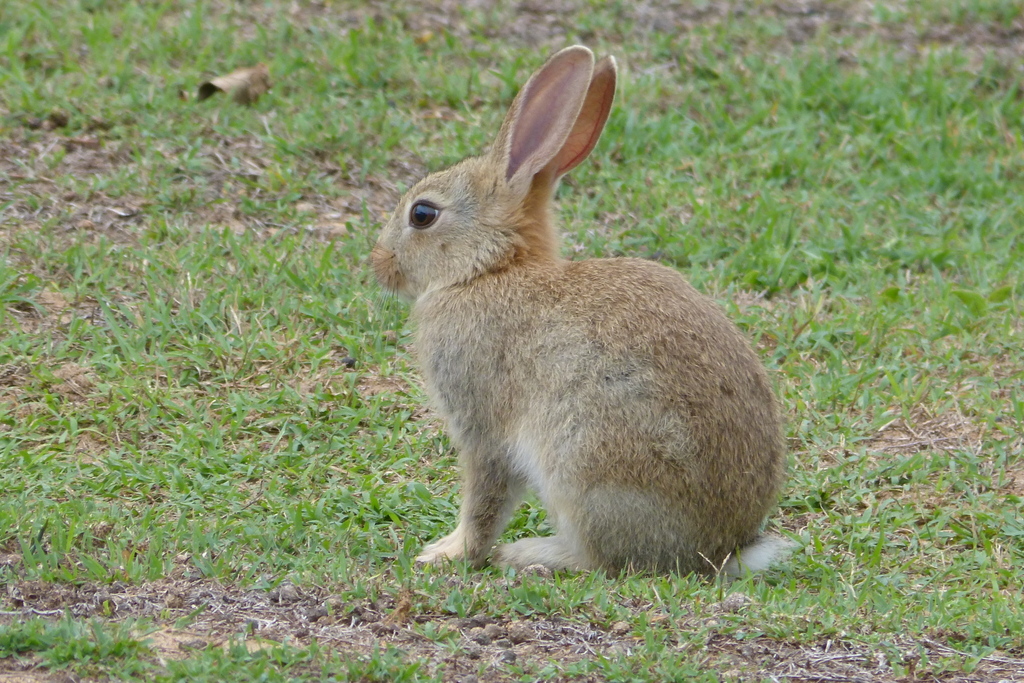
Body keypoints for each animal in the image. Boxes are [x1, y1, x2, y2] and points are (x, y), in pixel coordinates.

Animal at [371, 45, 790, 576]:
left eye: (422, 214)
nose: (379, 263)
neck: (489, 270)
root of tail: (720, 550)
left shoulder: (482, 424)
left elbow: (485, 498)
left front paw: (448, 553)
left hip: (584, 467)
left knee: (603, 559)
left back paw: (531, 553)